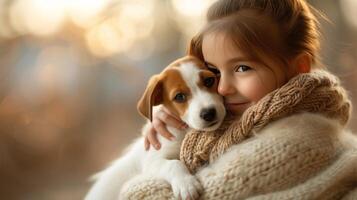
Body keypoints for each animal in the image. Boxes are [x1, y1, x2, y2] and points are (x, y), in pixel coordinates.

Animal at [85, 55, 225, 200]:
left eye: (209, 81)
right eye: (179, 97)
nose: (208, 113)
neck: (185, 131)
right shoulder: (152, 161)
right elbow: (173, 164)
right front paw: (186, 184)